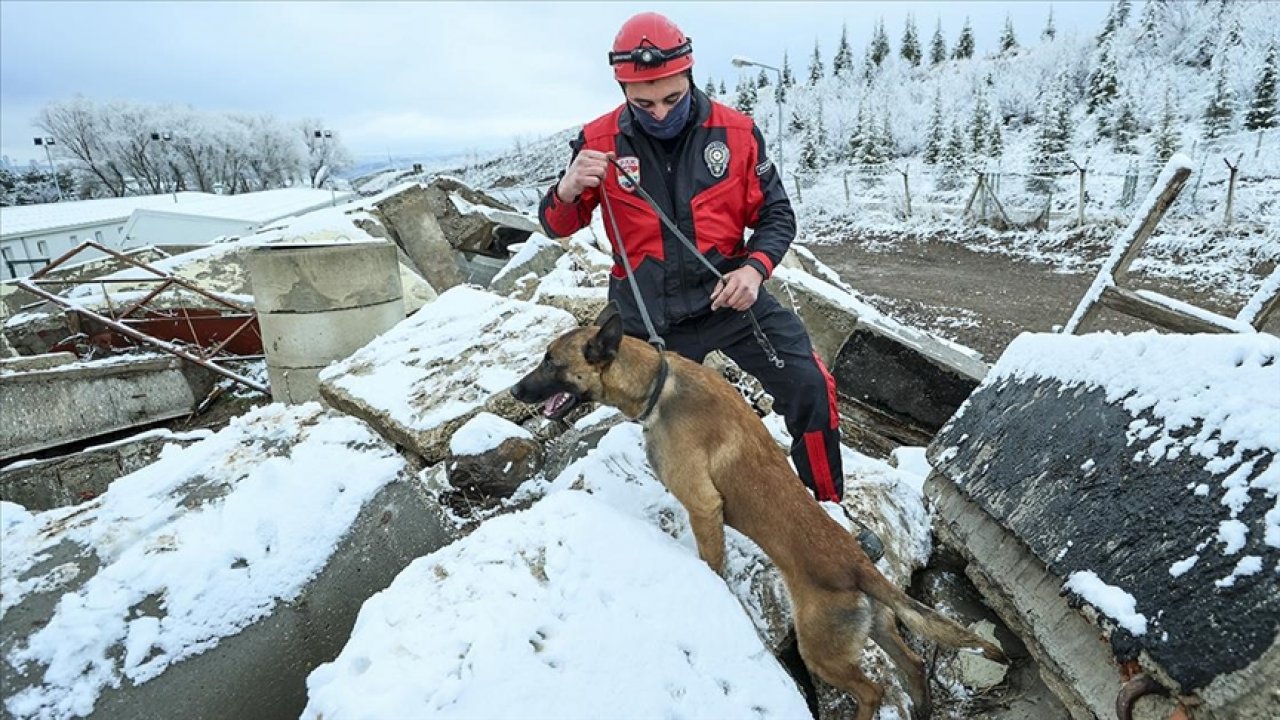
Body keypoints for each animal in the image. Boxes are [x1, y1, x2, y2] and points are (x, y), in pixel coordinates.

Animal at [512, 303, 1008, 717]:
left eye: (551, 362)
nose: (515, 390)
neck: (657, 383)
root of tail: (860, 568)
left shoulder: (704, 506)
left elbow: (711, 563)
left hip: (820, 649)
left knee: (873, 690)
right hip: (877, 627)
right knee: (913, 664)